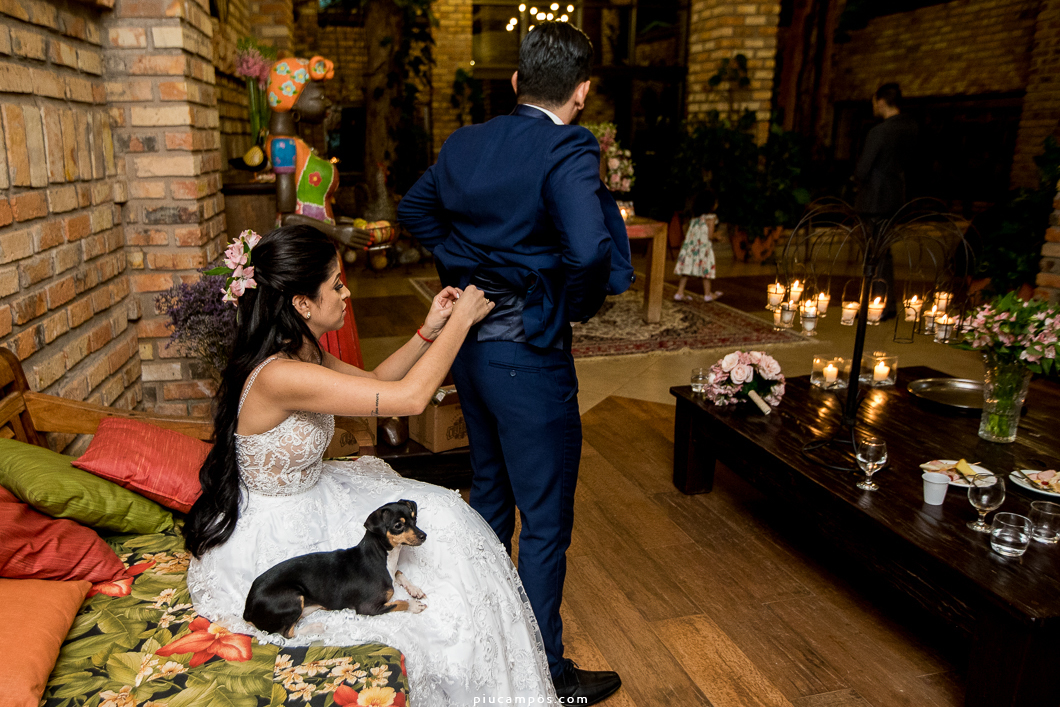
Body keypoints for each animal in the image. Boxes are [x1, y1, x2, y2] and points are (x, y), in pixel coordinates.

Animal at [243, 499, 428, 638]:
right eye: (398, 525)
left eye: (415, 519)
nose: (424, 536)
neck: (384, 556)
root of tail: (247, 610)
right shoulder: (367, 607)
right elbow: (399, 602)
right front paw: (413, 605)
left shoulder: (393, 571)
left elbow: (399, 572)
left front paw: (415, 590)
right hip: (293, 596)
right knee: (287, 633)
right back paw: (316, 628)